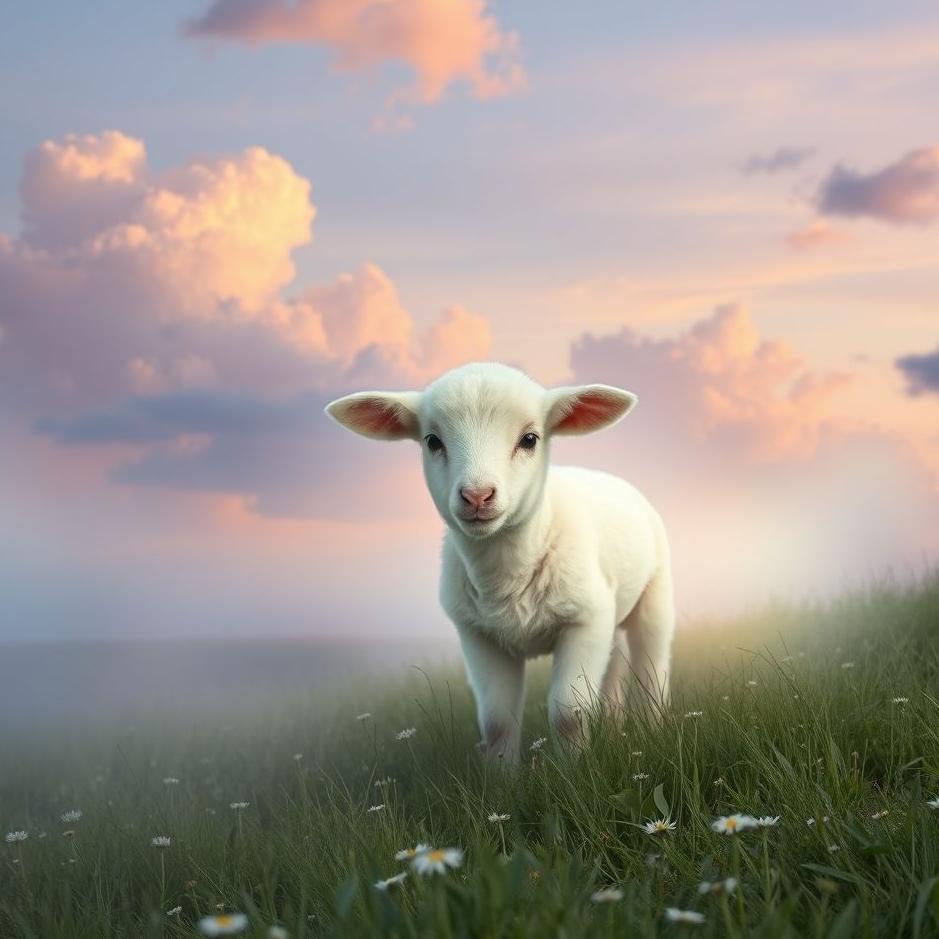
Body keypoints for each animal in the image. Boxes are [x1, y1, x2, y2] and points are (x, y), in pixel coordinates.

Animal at [325, 361, 674, 765]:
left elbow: (568, 712)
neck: (506, 578)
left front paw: (577, 772)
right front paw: (503, 779)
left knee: (652, 669)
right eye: (432, 441)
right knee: (614, 669)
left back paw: (653, 731)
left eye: (530, 439)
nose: (477, 495)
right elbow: (496, 721)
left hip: (654, 595)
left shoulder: (585, 618)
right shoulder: (478, 633)